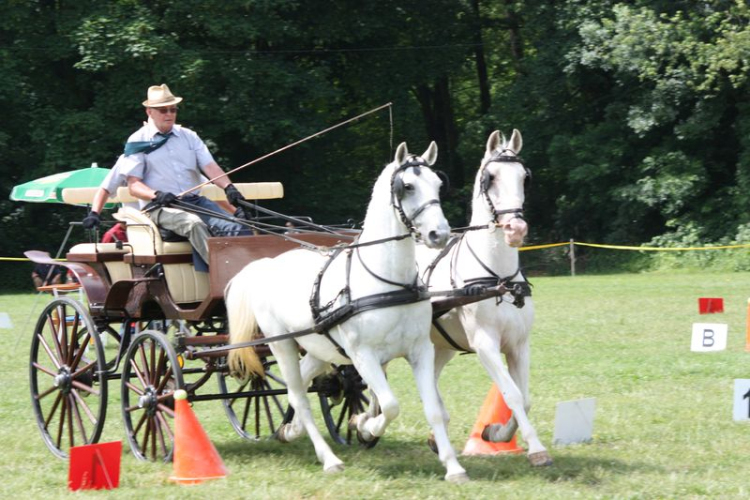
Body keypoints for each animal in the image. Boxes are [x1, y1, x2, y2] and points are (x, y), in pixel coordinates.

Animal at [226, 143, 470, 482]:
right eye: (407, 186)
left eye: (437, 184)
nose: (439, 234)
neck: (387, 282)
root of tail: (268, 265)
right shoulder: (363, 355)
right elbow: (390, 405)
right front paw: (364, 426)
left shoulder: (420, 350)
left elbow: (431, 408)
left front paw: (453, 466)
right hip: (282, 343)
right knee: (299, 396)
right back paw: (328, 459)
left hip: (318, 347)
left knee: (300, 385)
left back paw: (290, 431)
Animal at [418, 129, 552, 464]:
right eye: (490, 178)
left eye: (525, 177)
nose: (516, 228)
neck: (498, 279)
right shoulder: (484, 344)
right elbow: (511, 393)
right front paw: (537, 449)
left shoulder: (519, 344)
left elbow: (525, 398)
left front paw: (496, 433)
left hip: (440, 346)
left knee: (430, 382)